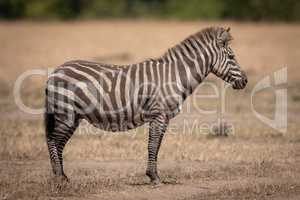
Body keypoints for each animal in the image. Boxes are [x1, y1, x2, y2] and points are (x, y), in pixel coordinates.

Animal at [44, 26, 246, 184]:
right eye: (231, 56)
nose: (245, 81)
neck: (175, 76)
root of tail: (55, 71)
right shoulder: (159, 114)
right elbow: (153, 145)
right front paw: (154, 177)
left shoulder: (164, 118)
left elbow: (157, 146)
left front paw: (153, 175)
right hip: (66, 114)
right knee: (54, 141)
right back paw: (59, 178)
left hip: (72, 117)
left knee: (55, 142)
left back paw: (62, 177)